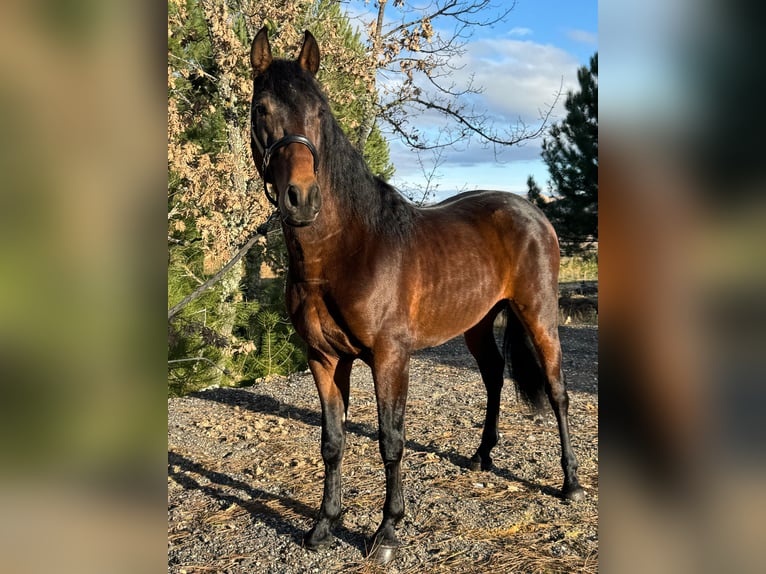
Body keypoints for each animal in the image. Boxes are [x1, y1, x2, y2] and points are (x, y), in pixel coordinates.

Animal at [247, 27, 585, 564]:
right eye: (261, 109)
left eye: (319, 111)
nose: (301, 198)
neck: (349, 248)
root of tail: (532, 211)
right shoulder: (323, 358)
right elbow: (332, 441)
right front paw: (323, 526)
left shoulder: (390, 357)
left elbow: (391, 440)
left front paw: (387, 531)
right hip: (477, 323)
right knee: (493, 376)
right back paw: (481, 457)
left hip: (538, 315)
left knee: (557, 391)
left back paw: (570, 484)